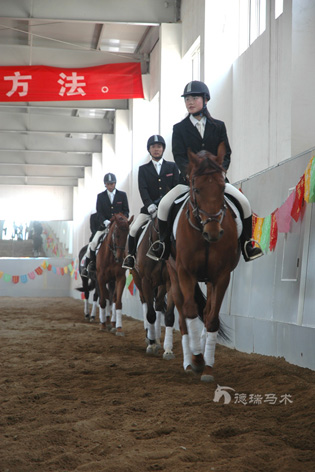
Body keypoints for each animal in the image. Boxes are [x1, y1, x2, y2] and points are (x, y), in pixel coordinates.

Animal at [130, 217, 175, 358]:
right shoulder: (146, 281)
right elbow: (150, 315)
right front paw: (151, 344)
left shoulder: (170, 281)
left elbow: (169, 315)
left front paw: (168, 349)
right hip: (138, 280)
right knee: (145, 303)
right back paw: (150, 338)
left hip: (161, 284)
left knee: (159, 304)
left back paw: (157, 339)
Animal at [167, 146, 241, 382]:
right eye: (197, 189)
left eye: (222, 187)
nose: (214, 232)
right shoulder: (185, 272)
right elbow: (190, 311)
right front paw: (197, 360)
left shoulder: (221, 276)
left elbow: (212, 319)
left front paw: (207, 367)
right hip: (173, 275)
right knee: (182, 318)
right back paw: (187, 361)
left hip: (208, 280)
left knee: (207, 311)